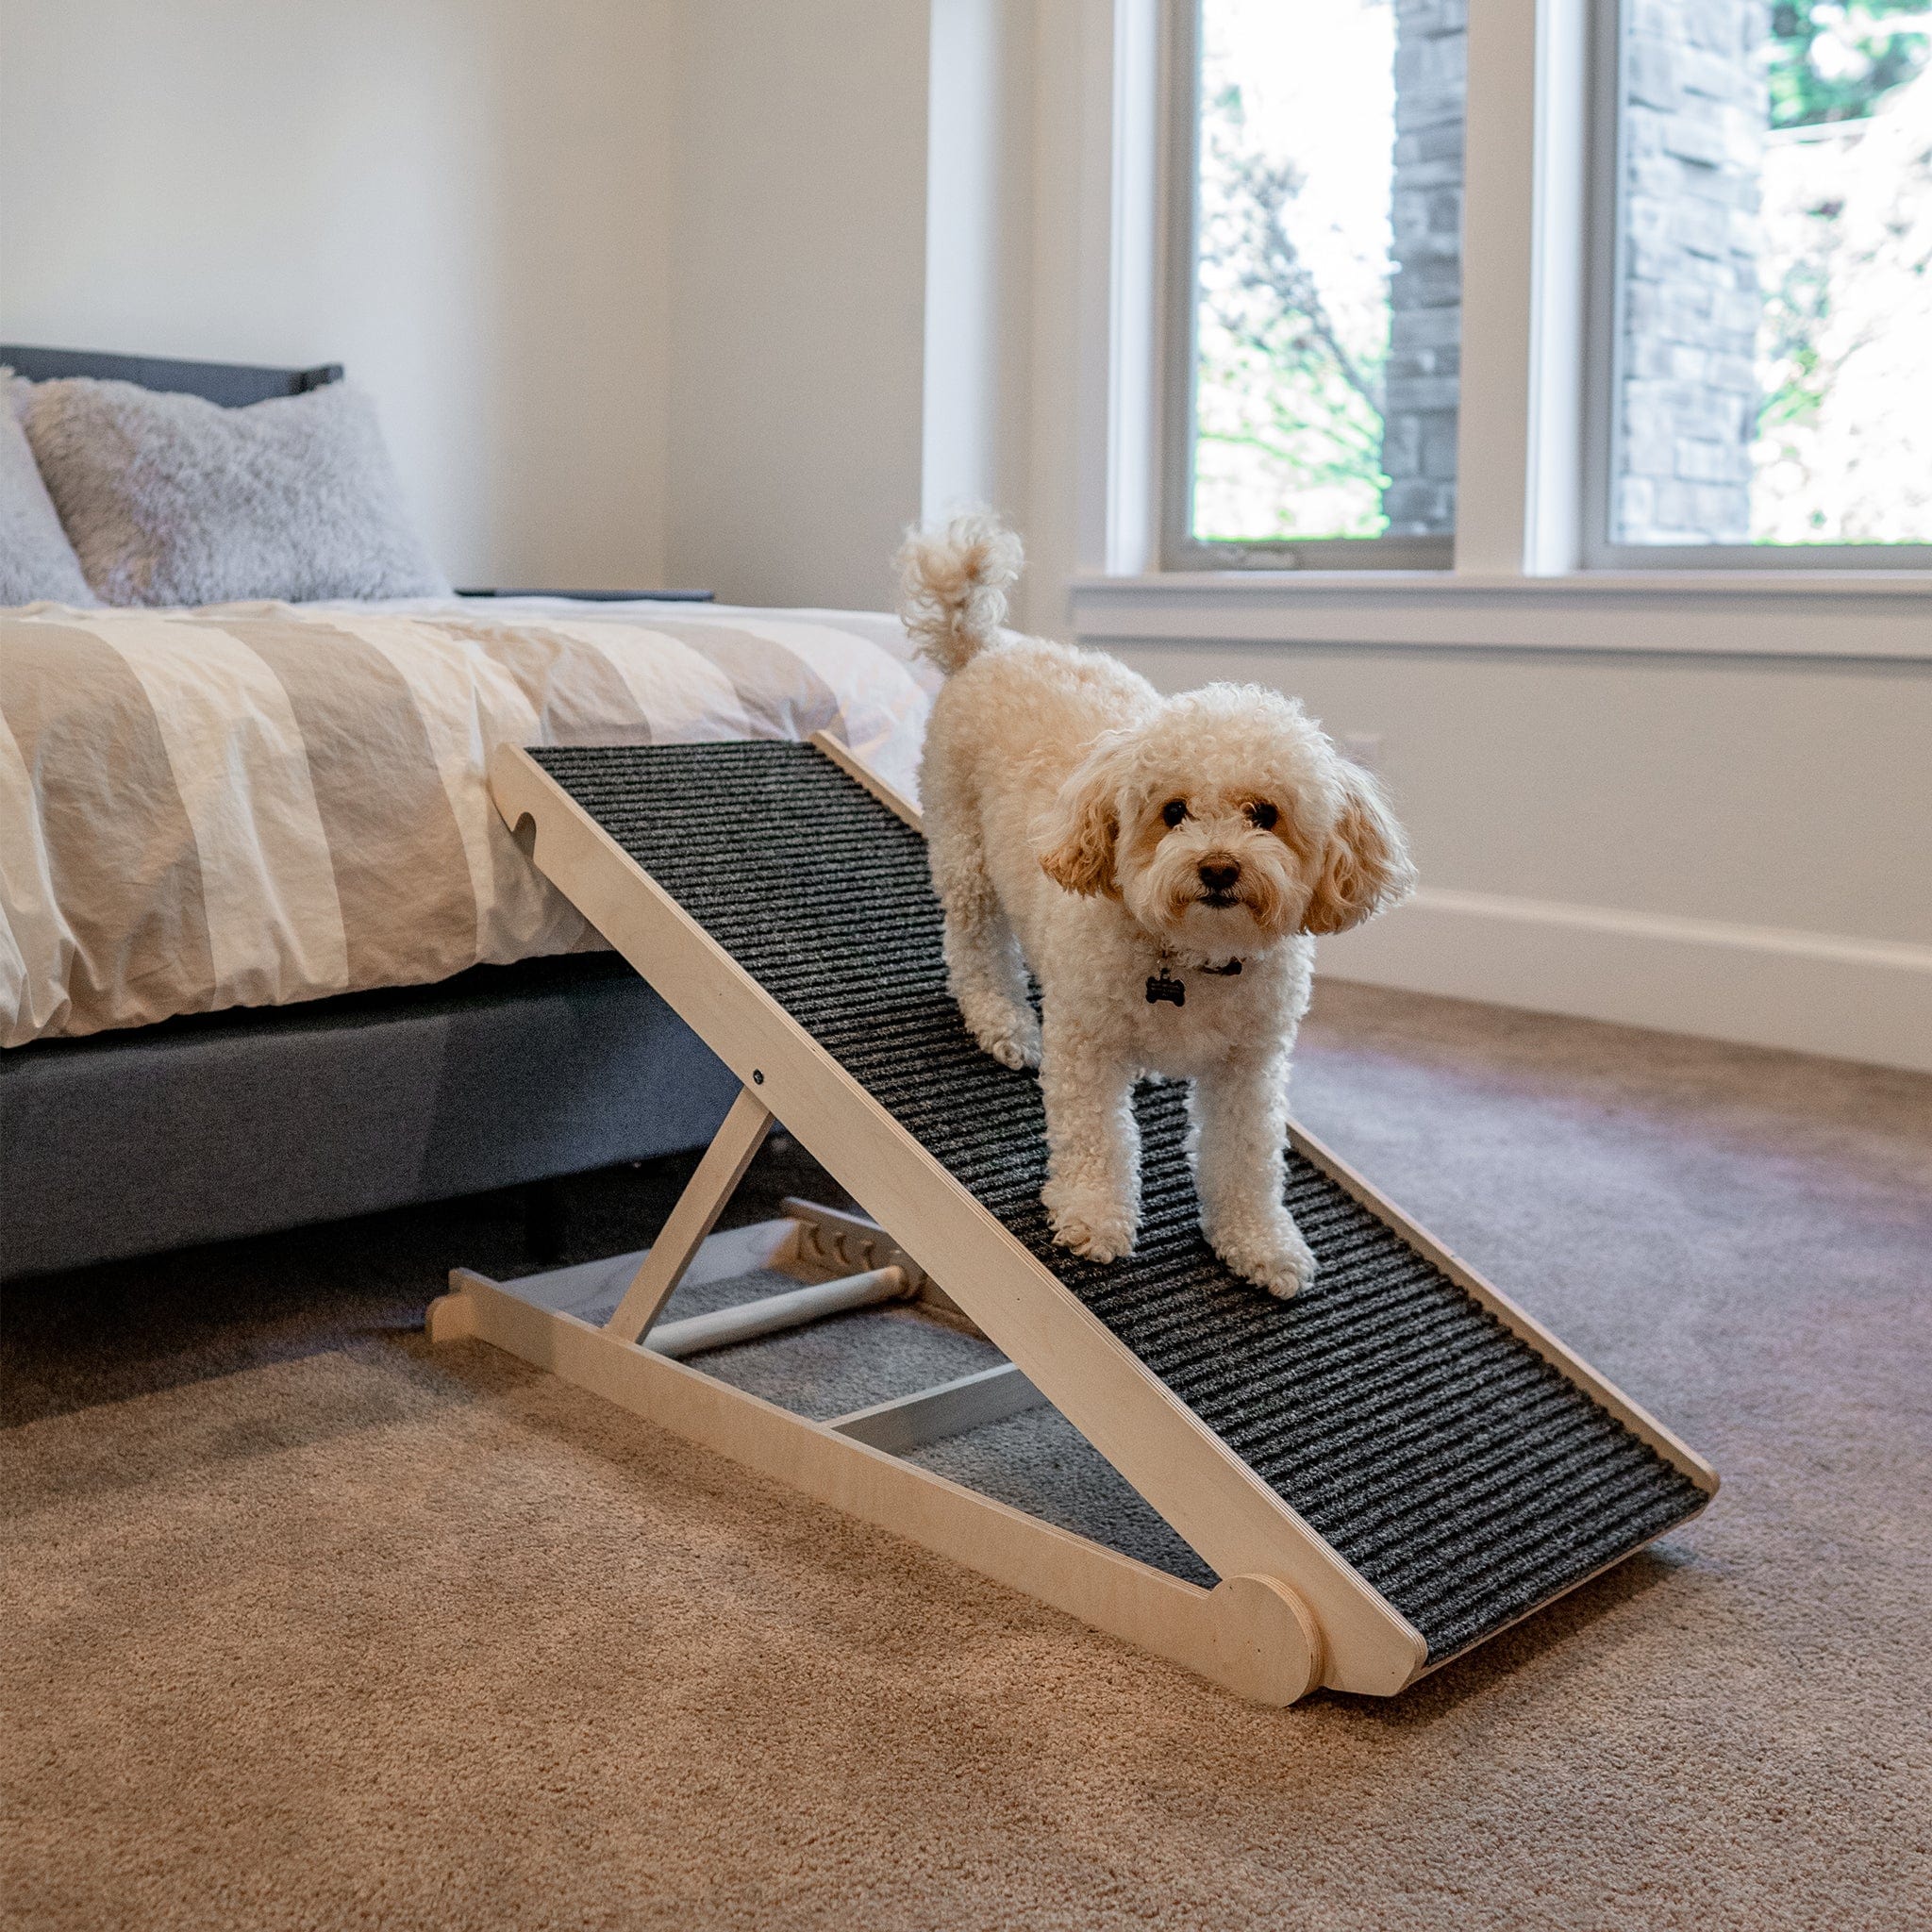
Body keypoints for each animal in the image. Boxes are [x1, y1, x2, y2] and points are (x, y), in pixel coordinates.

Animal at [896, 513, 1414, 1298]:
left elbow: (1246, 1160)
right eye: (1173, 812)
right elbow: (1097, 1138)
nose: (1219, 868)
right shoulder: (1086, 1045)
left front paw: (1259, 1243)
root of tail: (986, 648)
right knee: (976, 946)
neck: (1190, 956)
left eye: (1265, 814)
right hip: (967, 856)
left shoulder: (1250, 1068)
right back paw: (1002, 1021)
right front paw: (1093, 1216)